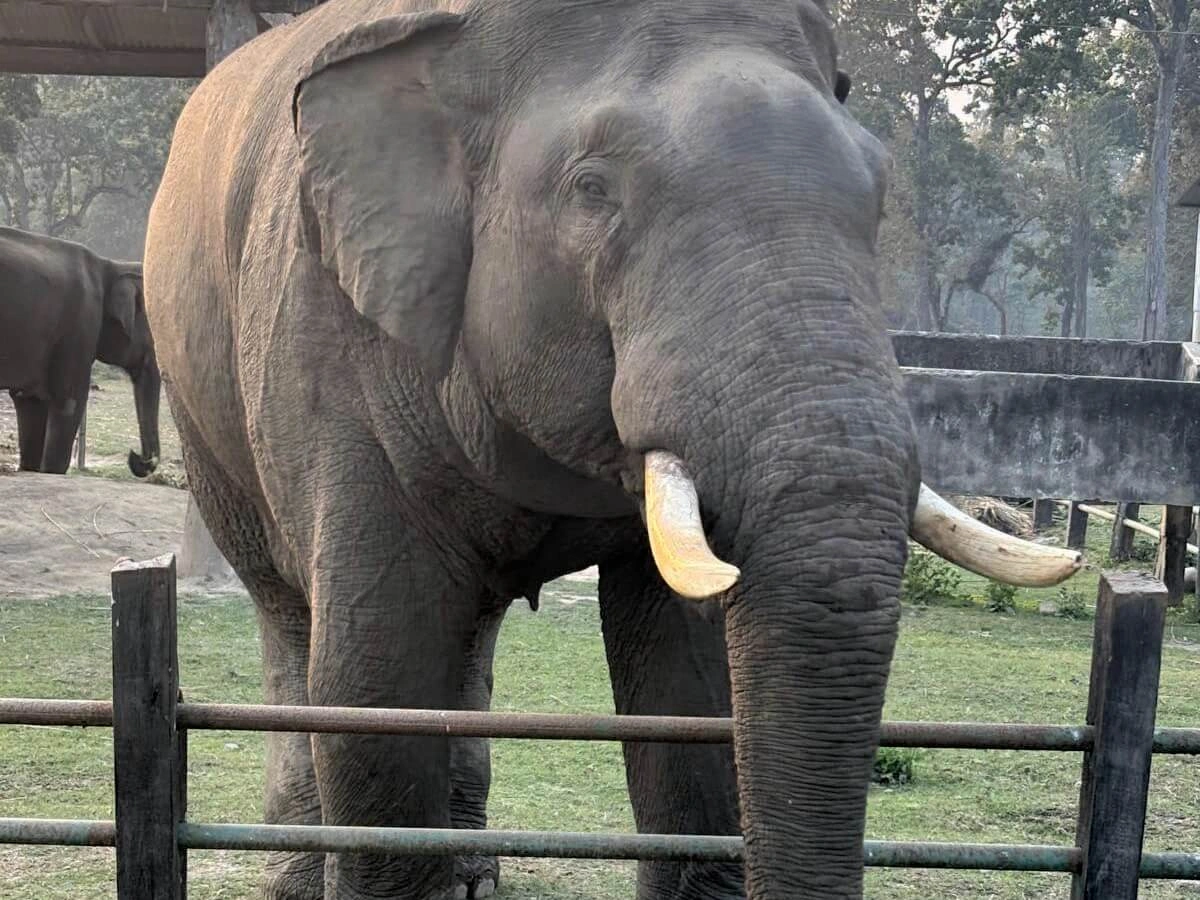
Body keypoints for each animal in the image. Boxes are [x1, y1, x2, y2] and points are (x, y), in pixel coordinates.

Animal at [0, 226, 160, 477]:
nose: (135, 456)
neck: (110, 265)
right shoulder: (79, 326)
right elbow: (70, 402)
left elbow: (31, 403)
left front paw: (30, 469)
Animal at [142, 1, 1081, 898]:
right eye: (593, 188)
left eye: (880, 192)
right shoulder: (329, 340)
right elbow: (378, 671)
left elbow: (688, 680)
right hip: (205, 403)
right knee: (289, 614)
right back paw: (305, 873)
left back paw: (473, 875)